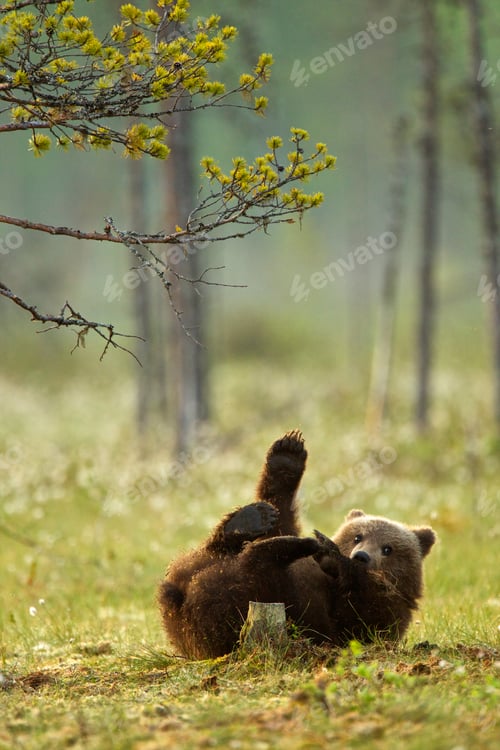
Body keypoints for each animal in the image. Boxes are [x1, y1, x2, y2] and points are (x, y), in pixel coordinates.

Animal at [158, 430, 436, 659]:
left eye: (388, 548)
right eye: (358, 536)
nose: (362, 556)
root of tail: (181, 599)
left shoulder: (383, 612)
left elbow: (361, 615)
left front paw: (329, 551)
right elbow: (280, 518)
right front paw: (287, 456)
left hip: (244, 605)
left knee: (257, 568)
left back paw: (296, 545)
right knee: (219, 553)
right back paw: (249, 522)